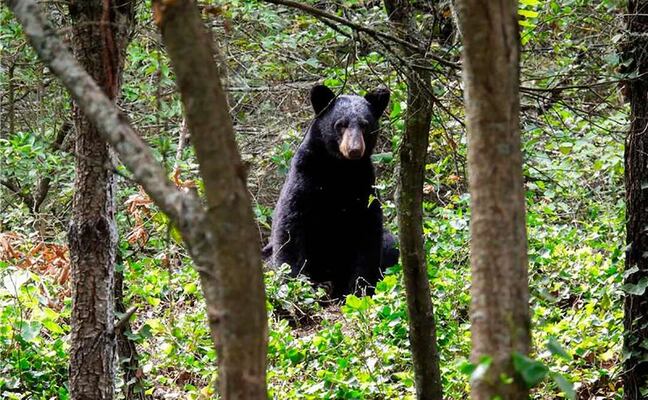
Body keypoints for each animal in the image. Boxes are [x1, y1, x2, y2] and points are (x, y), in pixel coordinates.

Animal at [265, 84, 399, 298]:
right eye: (340, 124)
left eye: (365, 125)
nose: (354, 150)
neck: (339, 169)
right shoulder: (305, 178)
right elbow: (290, 227)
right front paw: (293, 285)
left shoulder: (364, 187)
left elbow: (368, 234)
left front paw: (358, 289)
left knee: (390, 244)